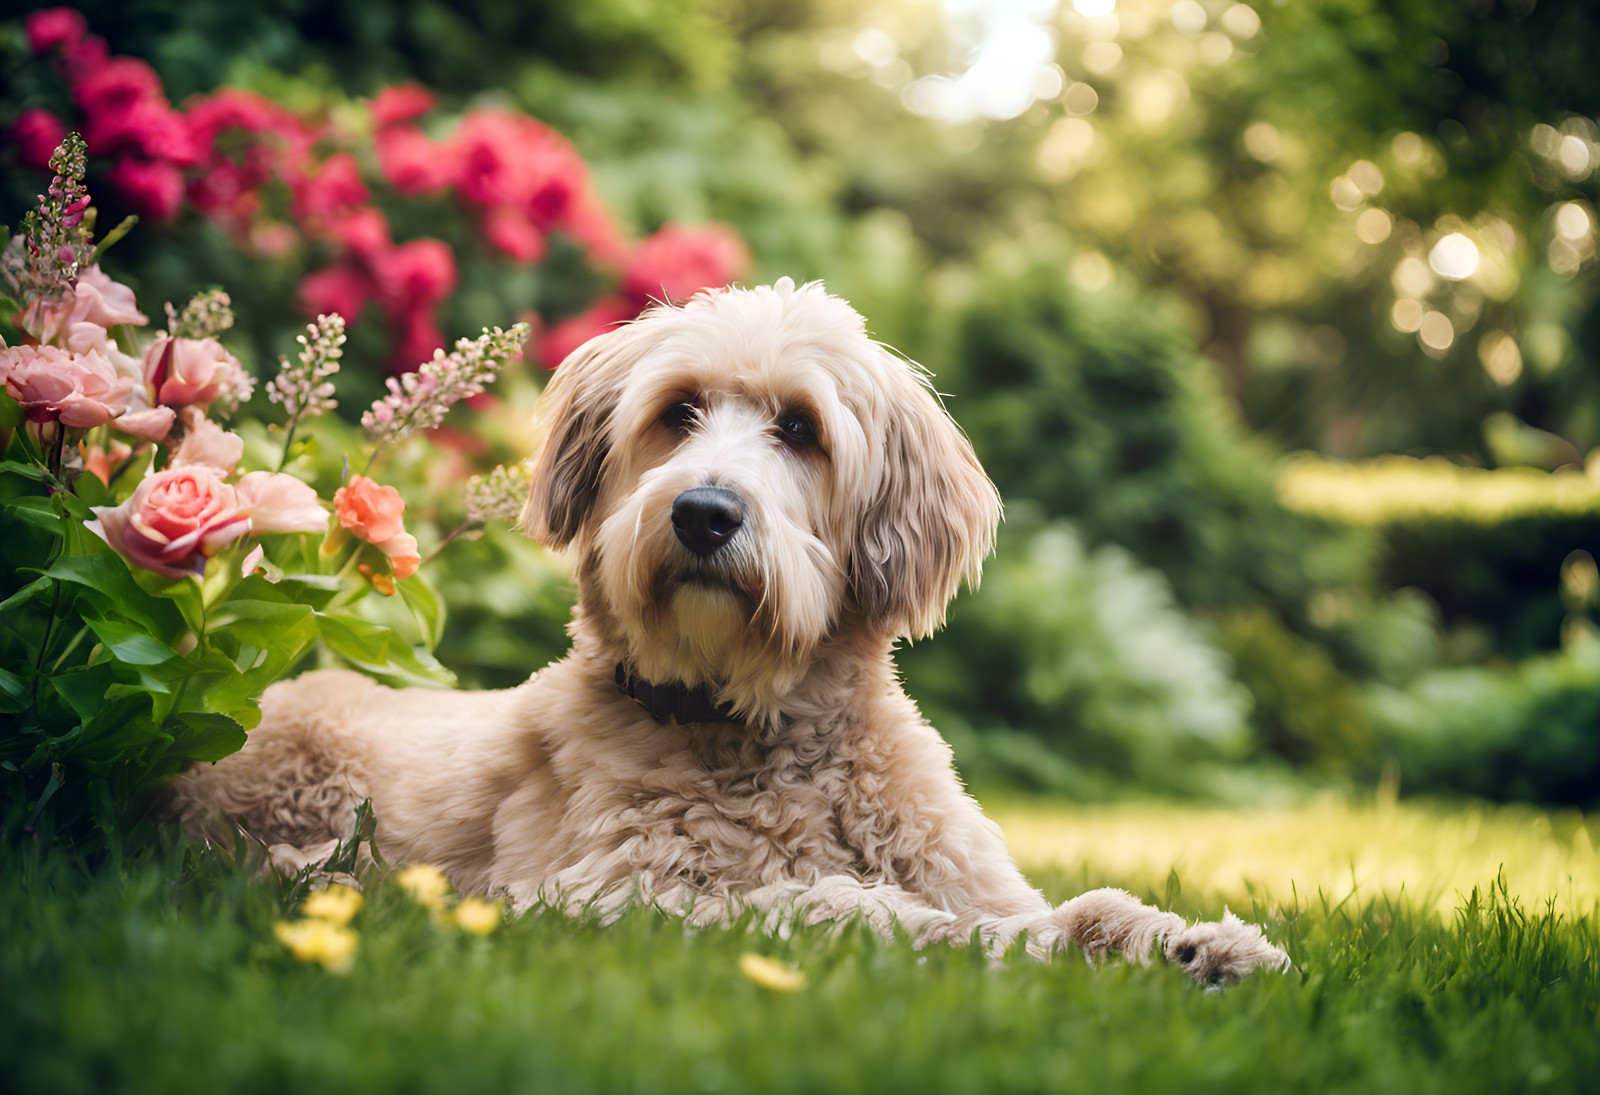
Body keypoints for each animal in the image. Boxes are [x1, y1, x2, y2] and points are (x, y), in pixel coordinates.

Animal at [175, 280, 1292, 986]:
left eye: (799, 428)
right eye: (679, 411)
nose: (703, 513)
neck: (765, 732)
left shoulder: (975, 875)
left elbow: (1078, 906)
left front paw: (1196, 943)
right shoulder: (609, 897)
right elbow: (831, 905)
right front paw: (955, 943)